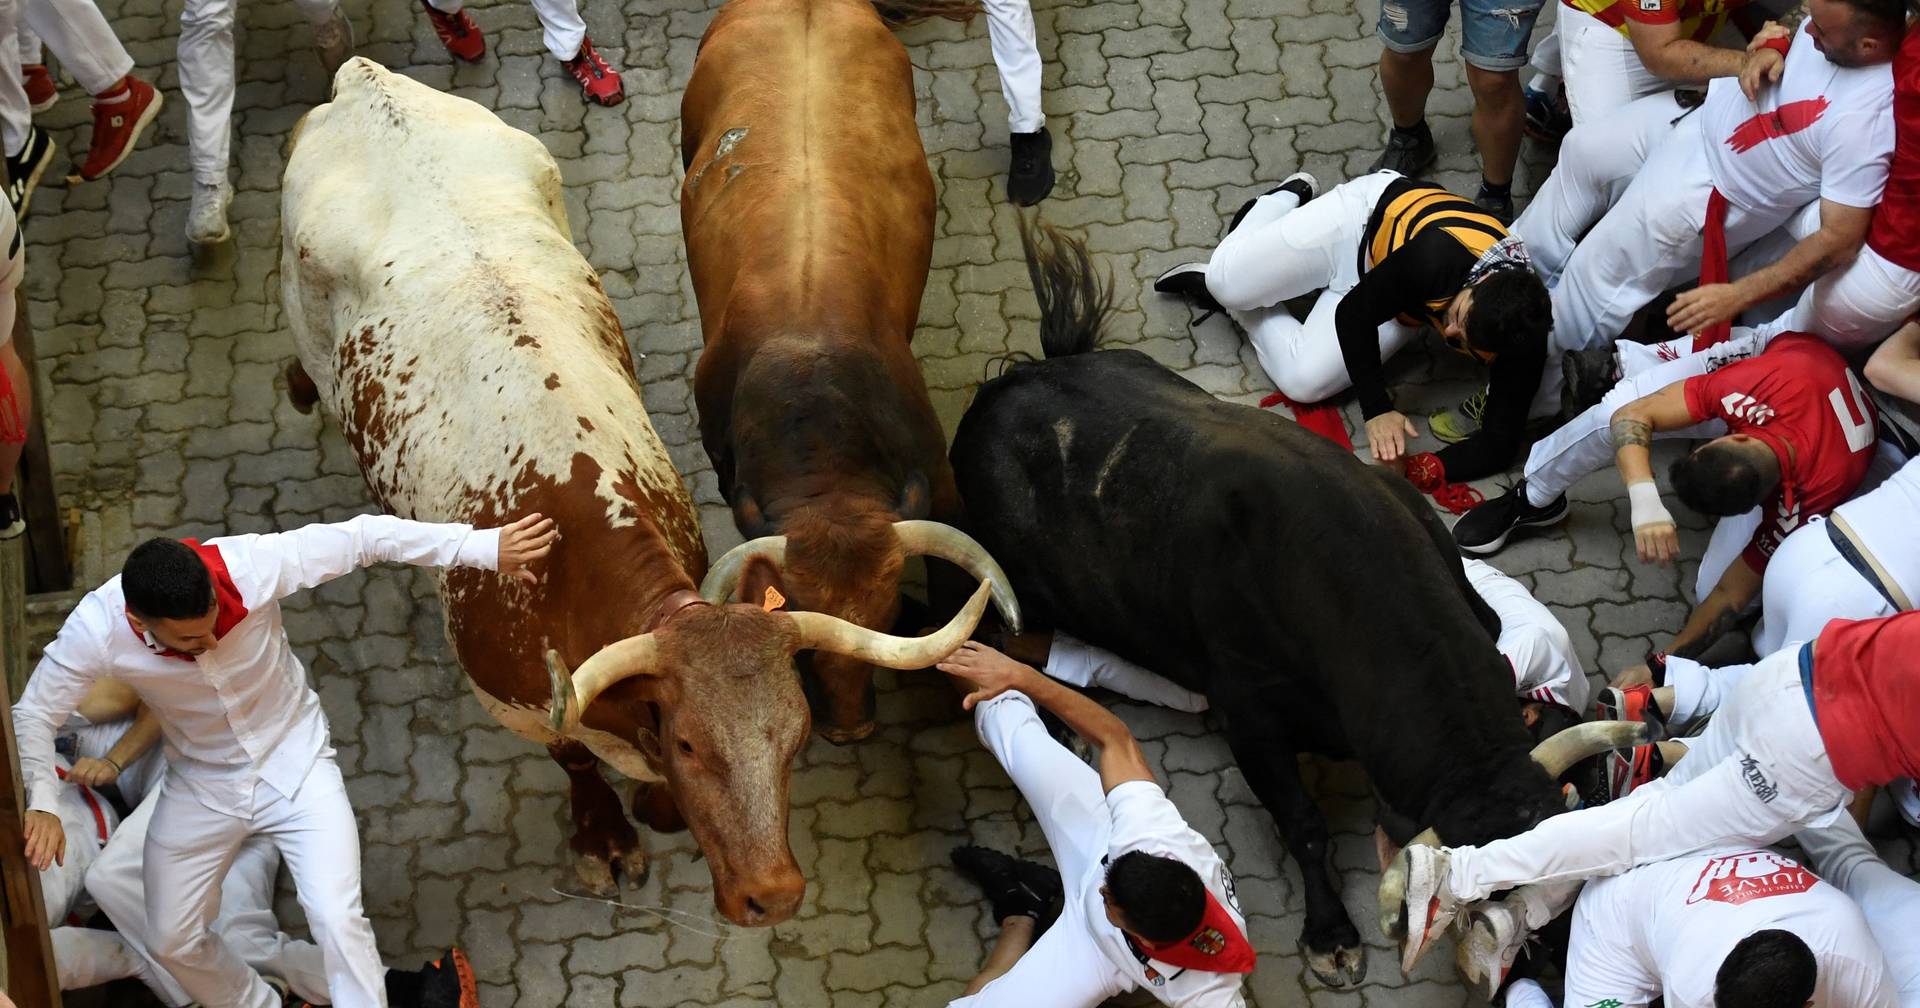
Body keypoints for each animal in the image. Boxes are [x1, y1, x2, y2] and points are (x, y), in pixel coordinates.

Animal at [282, 59, 998, 925]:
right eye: (692, 742)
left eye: (792, 736)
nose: (774, 896)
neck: (570, 547)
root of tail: (367, 82)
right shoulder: (521, 706)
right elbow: (574, 760)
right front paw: (605, 835)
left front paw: (659, 810)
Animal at [952, 223, 1612, 983]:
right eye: (1478, 898)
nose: (1543, 954)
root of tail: (1011, 381)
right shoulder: (1250, 716)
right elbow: (1303, 824)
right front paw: (1331, 934)